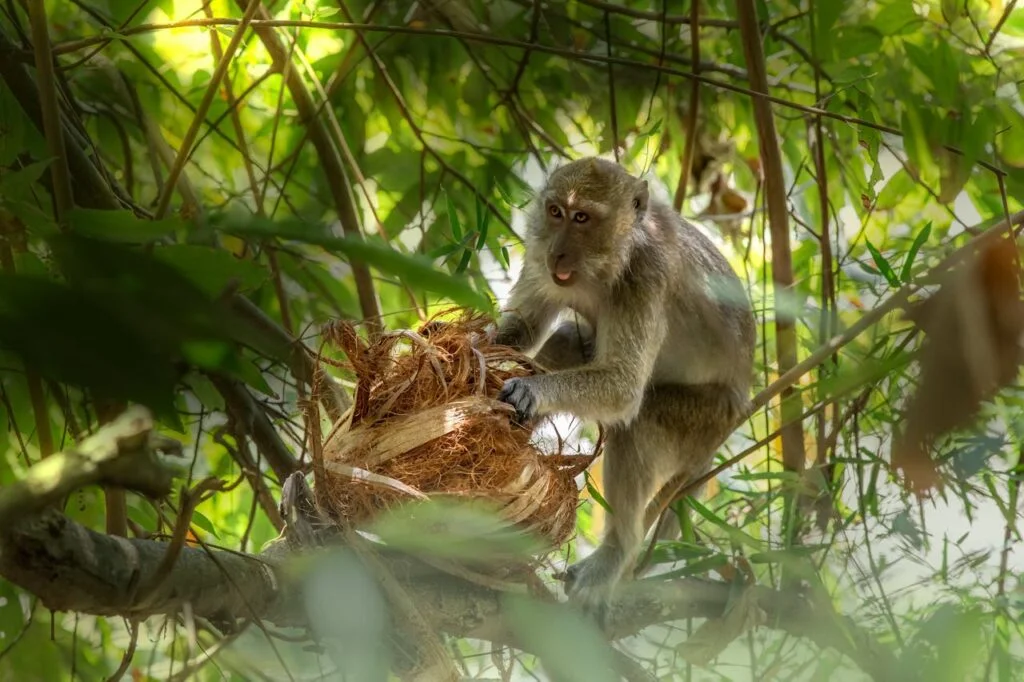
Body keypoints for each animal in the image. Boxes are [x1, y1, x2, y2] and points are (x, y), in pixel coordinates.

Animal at [491, 155, 757, 622]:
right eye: (555, 211)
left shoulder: (646, 278)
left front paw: (530, 390)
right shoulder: (540, 260)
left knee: (640, 421)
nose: (557, 252)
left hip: (707, 420)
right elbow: (522, 333)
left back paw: (618, 551)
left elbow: (623, 389)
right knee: (565, 342)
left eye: (582, 218)